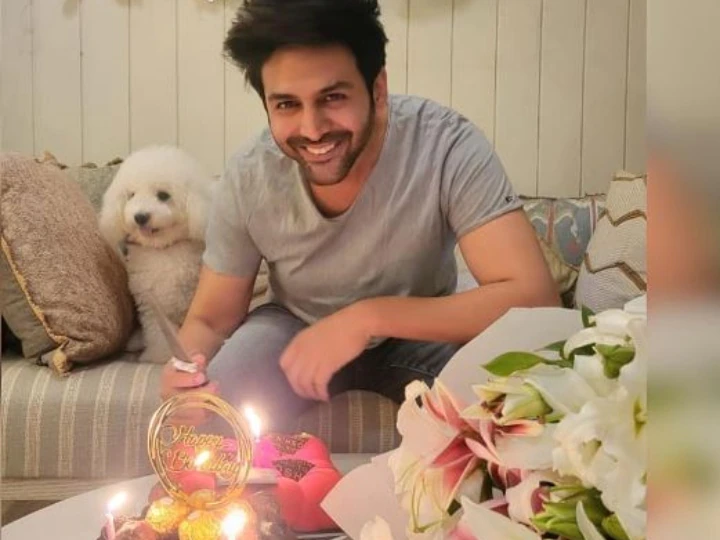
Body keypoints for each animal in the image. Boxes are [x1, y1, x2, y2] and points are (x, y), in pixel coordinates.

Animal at [99, 145, 215, 363]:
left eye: (163, 195)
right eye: (131, 195)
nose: (140, 217)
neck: (163, 250)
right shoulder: (151, 306)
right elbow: (157, 334)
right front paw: (159, 356)